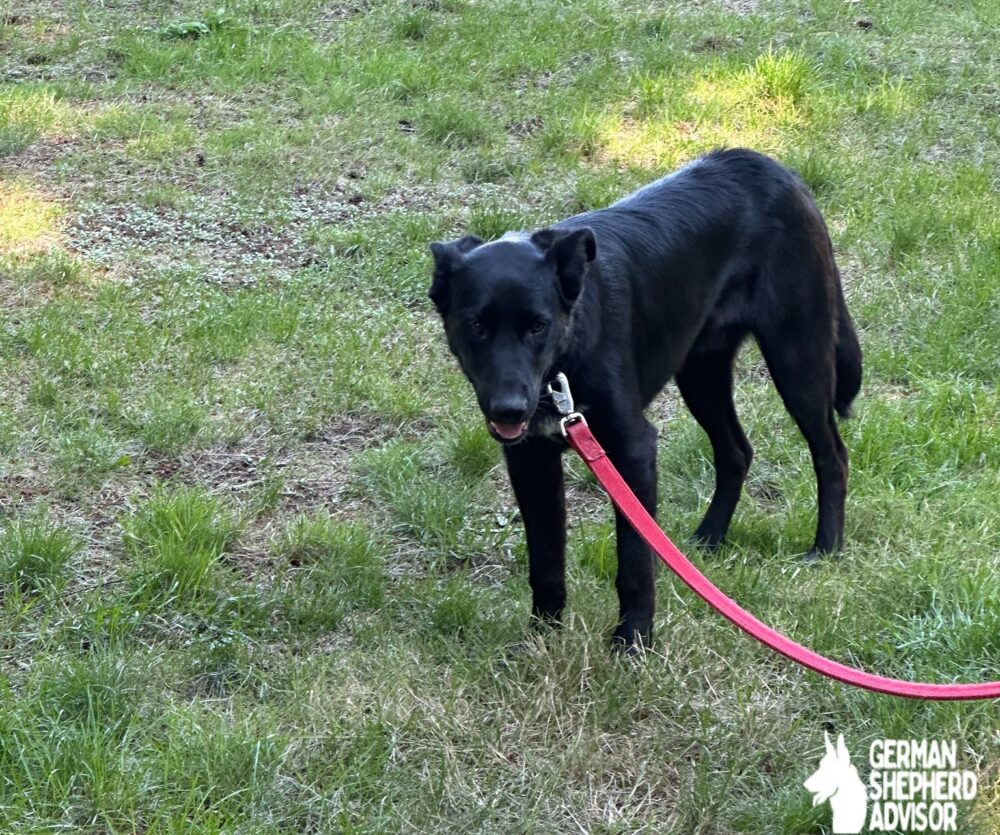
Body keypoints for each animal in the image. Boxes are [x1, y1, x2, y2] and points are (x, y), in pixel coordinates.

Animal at [428, 147, 860, 648]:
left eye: (537, 325)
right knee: (736, 450)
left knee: (831, 453)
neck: (564, 362)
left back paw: (825, 548)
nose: (509, 409)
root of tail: (774, 168)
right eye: (476, 326)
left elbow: (635, 562)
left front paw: (633, 641)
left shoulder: (632, 451)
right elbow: (546, 561)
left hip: (798, 359)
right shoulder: (531, 460)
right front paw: (542, 637)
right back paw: (709, 539)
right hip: (701, 372)